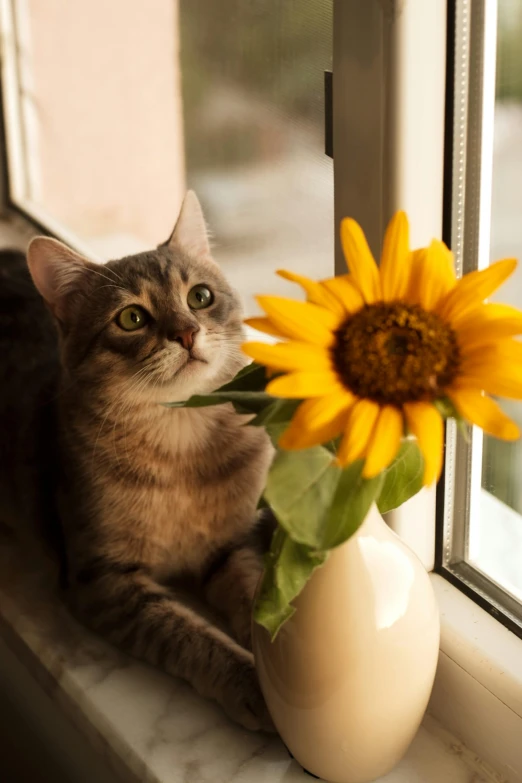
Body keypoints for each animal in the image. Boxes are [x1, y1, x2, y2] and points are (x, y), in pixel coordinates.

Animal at [0, 193, 274, 732]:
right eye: (131, 318)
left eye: (200, 297)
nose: (187, 333)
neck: (181, 447)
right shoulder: (102, 580)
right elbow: (187, 634)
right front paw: (247, 680)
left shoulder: (230, 545)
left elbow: (251, 595)